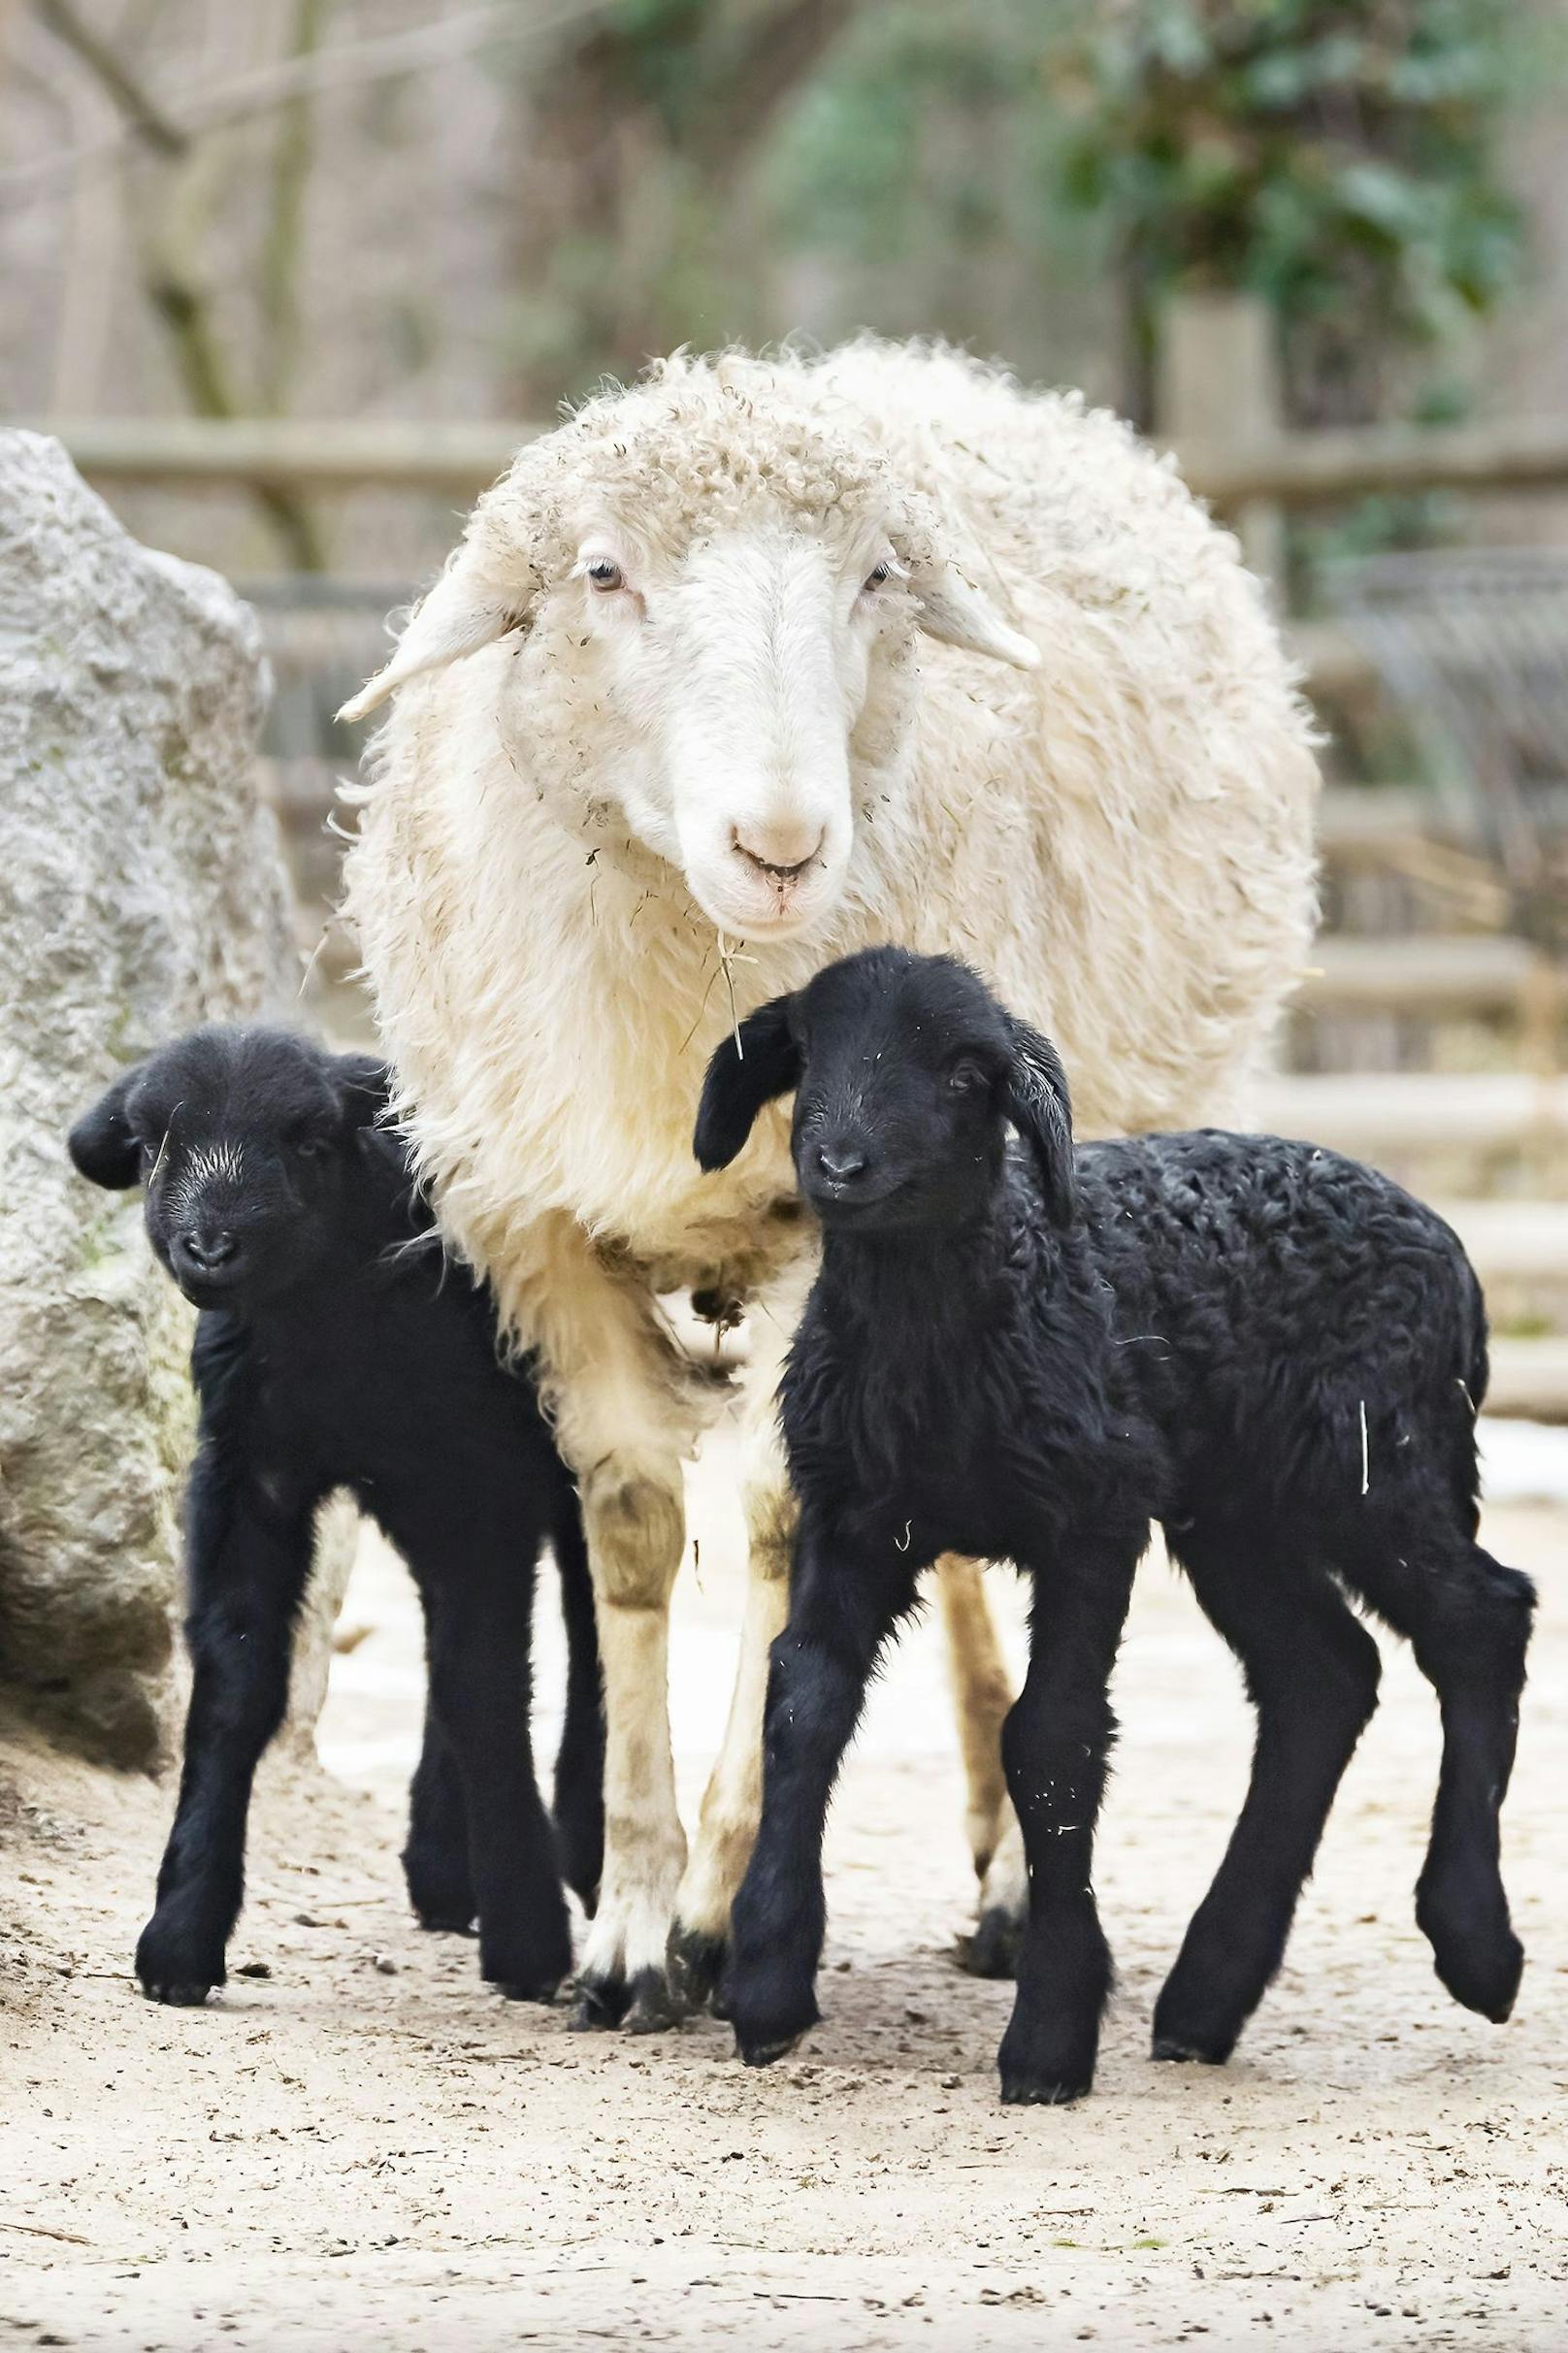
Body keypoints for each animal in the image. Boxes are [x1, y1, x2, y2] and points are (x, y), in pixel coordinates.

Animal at [70, 1030, 600, 2005]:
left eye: (311, 1143)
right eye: (154, 1141)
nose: (212, 1245)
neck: (332, 1333)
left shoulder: (480, 1479)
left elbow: (486, 1684)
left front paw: (528, 1936)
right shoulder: (251, 1470)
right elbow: (237, 1684)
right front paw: (180, 1936)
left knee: (592, 1610)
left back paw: (581, 1841)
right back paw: (443, 1866)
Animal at [341, 341, 1318, 2033]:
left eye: (875, 579)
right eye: (603, 573)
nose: (784, 844)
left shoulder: (833, 1228)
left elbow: (786, 1522)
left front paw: (716, 1913)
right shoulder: (538, 1224)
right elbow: (632, 1525)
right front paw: (629, 1920)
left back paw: (1016, 1888)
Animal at [692, 945, 1535, 2108]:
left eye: (966, 1074)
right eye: (809, 1053)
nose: (841, 1162)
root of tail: (1446, 1243)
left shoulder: (1092, 1511)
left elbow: (1051, 1736)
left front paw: (1049, 2035)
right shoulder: (854, 1511)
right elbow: (804, 1697)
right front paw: (768, 1980)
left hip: (1379, 1463)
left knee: (1483, 1621)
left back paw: (1473, 1945)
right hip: (1239, 1511)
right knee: (1324, 1676)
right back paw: (1205, 1997)